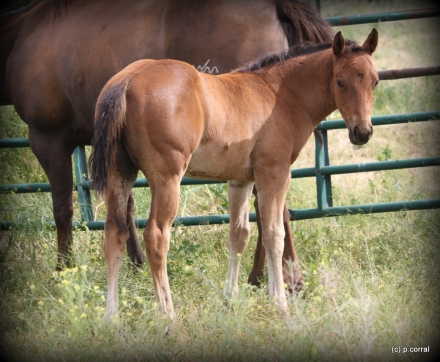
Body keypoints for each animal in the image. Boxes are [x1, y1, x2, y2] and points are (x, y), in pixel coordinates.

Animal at [89, 30, 378, 320]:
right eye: (340, 82)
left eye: (375, 81)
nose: (362, 132)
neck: (279, 93)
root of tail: (126, 81)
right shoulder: (274, 172)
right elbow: (274, 234)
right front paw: (279, 304)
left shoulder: (241, 180)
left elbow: (239, 235)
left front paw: (230, 300)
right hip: (167, 178)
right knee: (157, 236)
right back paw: (168, 314)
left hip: (120, 172)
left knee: (114, 233)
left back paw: (111, 317)